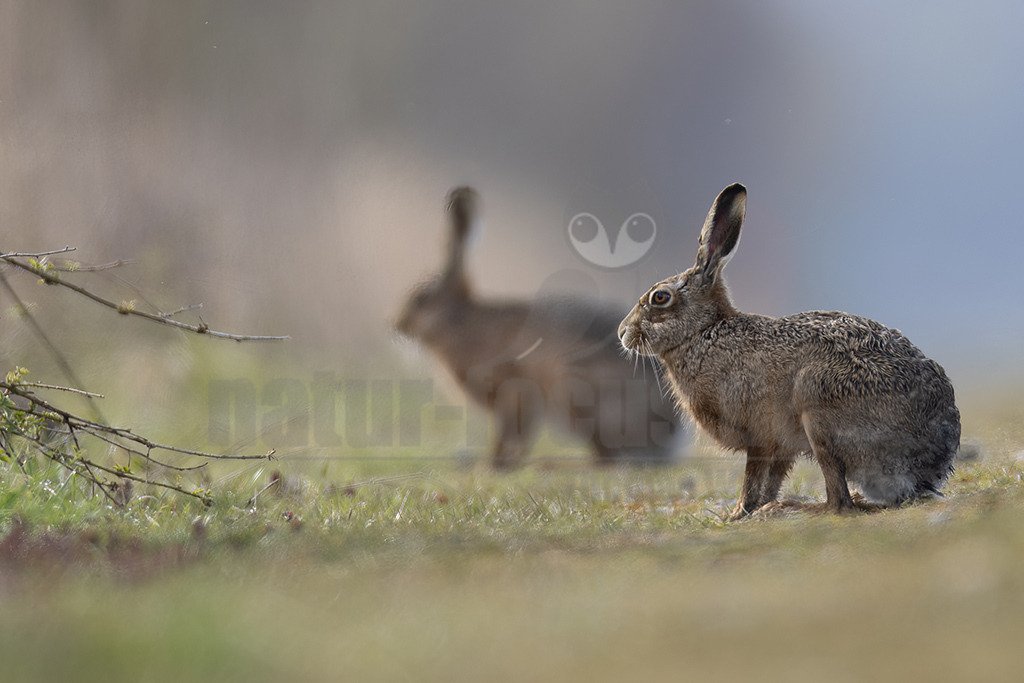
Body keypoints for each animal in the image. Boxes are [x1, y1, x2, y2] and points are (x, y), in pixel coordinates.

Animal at [395, 186, 682, 468]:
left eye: (420, 299)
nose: (397, 325)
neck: (458, 319)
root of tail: (672, 433)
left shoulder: (515, 389)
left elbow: (508, 432)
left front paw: (493, 465)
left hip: (575, 392)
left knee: (606, 457)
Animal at [619, 183, 960, 517]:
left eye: (660, 298)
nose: (623, 332)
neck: (703, 331)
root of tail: (925, 468)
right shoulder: (781, 446)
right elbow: (773, 477)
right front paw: (753, 508)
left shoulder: (759, 432)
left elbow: (752, 475)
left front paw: (739, 513)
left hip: (816, 402)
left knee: (839, 503)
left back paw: (791, 508)